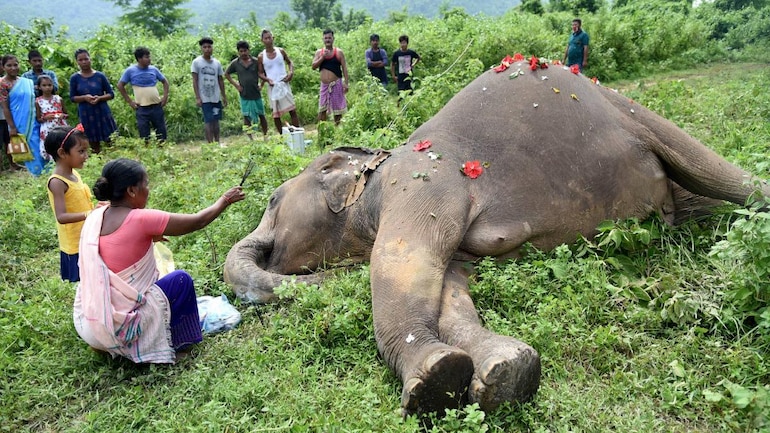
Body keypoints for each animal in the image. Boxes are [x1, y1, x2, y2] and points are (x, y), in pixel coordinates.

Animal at [224, 63, 768, 418]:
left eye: (271, 200)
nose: (321, 282)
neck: (379, 166)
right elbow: (448, 289)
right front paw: (502, 372)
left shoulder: (422, 184)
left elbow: (402, 264)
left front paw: (433, 381)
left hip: (639, 116)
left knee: (719, 174)